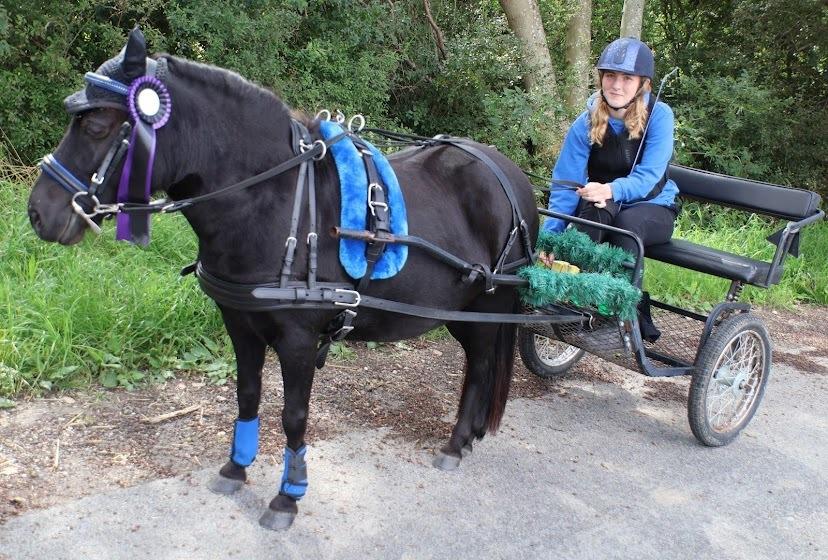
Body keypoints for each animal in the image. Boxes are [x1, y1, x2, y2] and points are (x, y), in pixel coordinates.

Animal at [27, 29, 536, 528]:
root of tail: (509, 174)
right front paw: (236, 468)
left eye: (96, 126)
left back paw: (456, 442)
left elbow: (294, 415)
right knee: (477, 365)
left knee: (482, 366)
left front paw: (288, 497)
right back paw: (467, 436)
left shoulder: (297, 339)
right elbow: (247, 396)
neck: (271, 200)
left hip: (488, 307)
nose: (38, 213)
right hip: (461, 311)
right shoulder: (240, 325)